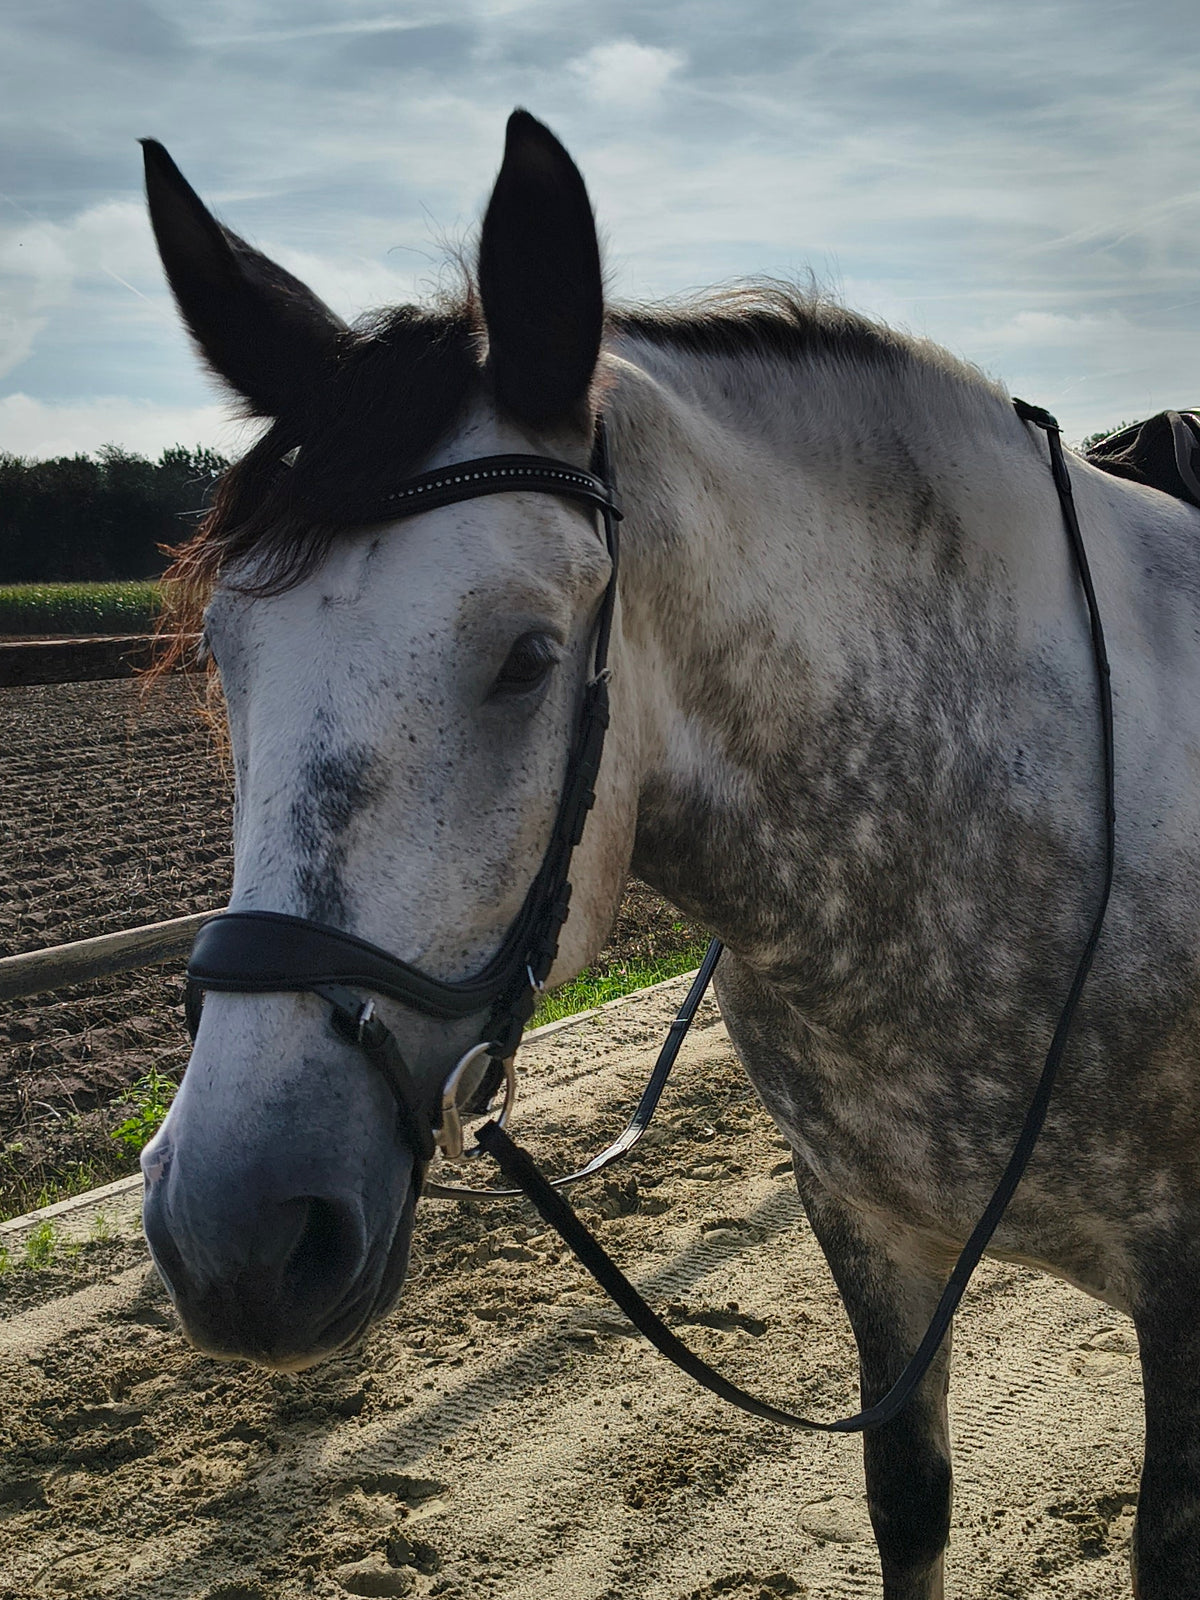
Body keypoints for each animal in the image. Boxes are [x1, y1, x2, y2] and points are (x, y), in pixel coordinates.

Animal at [137, 111, 1200, 1599]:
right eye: (226, 656)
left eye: (528, 657)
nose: (236, 1232)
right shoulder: (868, 1234)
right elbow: (907, 1501)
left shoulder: (1185, 1300)